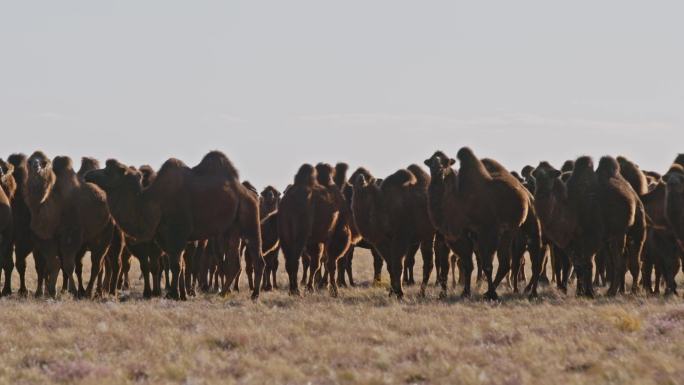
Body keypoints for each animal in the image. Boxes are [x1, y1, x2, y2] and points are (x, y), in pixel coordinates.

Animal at [85, 151, 264, 300]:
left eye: (109, 170)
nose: (88, 174)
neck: (153, 202)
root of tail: (249, 193)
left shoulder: (177, 234)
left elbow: (176, 266)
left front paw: (175, 295)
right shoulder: (166, 237)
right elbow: (177, 265)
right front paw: (177, 293)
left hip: (250, 216)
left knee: (257, 257)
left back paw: (254, 294)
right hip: (231, 229)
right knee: (234, 261)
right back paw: (224, 292)